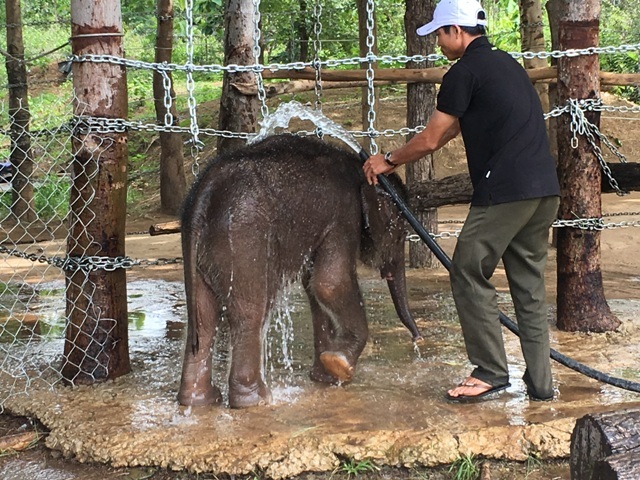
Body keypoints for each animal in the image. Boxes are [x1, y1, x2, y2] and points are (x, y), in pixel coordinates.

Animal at [179, 135, 420, 408]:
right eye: (400, 235)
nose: (417, 339)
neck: (359, 167)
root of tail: (202, 195)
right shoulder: (344, 216)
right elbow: (330, 284)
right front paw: (340, 366)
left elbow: (314, 288)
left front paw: (326, 376)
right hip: (241, 241)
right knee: (251, 312)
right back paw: (257, 400)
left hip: (204, 255)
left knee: (203, 317)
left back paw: (199, 400)